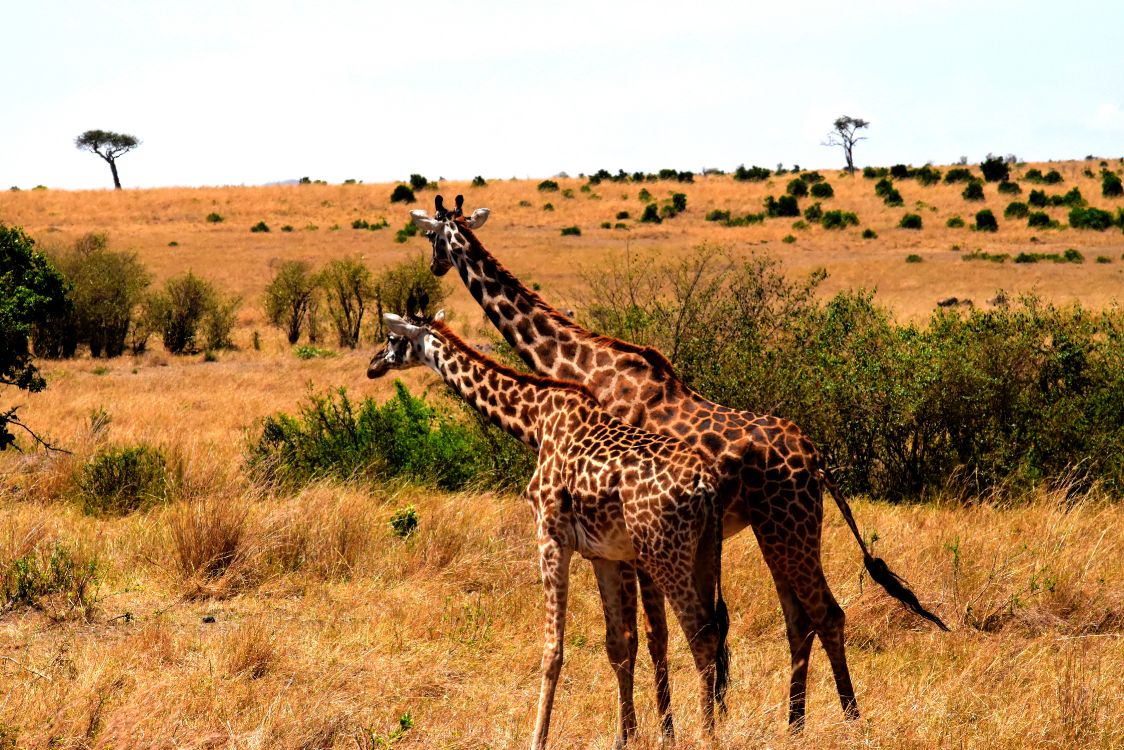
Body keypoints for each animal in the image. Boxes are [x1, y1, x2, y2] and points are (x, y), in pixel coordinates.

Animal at [367, 311, 730, 750]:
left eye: (392, 339)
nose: (373, 366)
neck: (537, 420)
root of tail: (707, 485)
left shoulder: (550, 537)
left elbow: (552, 650)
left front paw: (536, 738)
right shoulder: (602, 554)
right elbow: (616, 645)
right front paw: (622, 737)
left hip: (665, 553)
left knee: (700, 634)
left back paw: (708, 735)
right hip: (703, 553)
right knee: (713, 629)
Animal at [409, 195, 949, 732]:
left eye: (431, 237)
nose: (433, 267)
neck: (585, 367)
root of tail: (816, 459)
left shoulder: (628, 540)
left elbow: (648, 637)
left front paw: (662, 728)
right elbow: (661, 634)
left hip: (786, 529)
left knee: (825, 615)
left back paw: (850, 720)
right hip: (777, 532)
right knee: (799, 619)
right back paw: (793, 725)